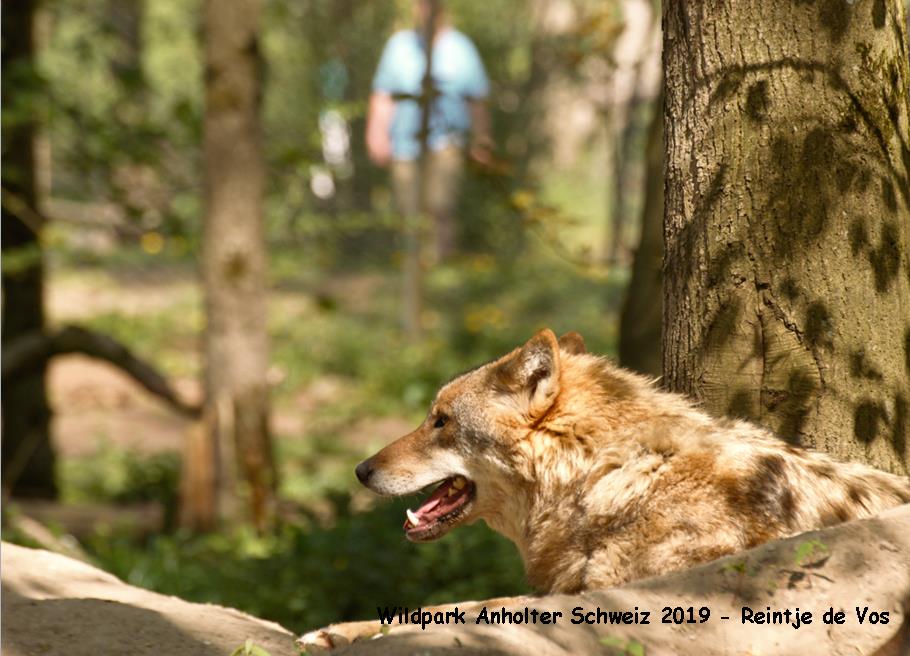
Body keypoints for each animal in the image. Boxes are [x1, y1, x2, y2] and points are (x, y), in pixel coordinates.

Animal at [302, 330, 910, 648]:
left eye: (440, 421)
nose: (360, 469)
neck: (610, 474)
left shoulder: (621, 595)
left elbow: (473, 607)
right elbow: (449, 606)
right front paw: (339, 631)